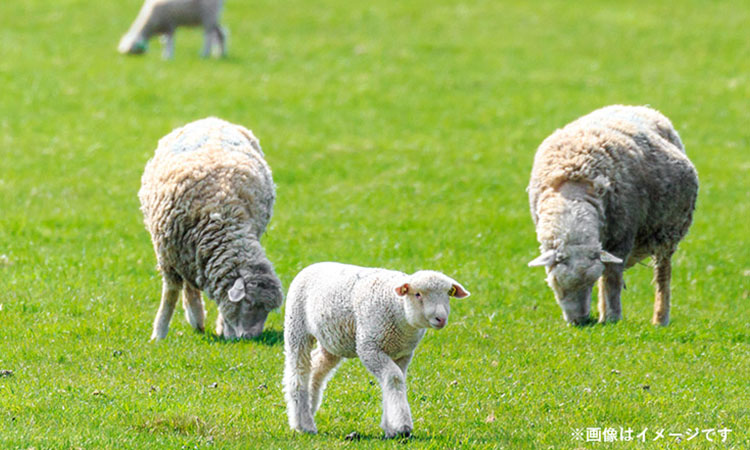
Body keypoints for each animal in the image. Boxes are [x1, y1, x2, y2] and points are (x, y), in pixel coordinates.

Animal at [282, 262, 470, 438]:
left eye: (448, 294)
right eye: (418, 294)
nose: (441, 318)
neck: (398, 310)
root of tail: (313, 265)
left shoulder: (402, 353)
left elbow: (393, 380)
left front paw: (390, 428)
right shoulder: (369, 347)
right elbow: (394, 378)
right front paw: (402, 426)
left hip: (332, 342)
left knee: (316, 367)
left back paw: (310, 410)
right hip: (296, 328)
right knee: (298, 373)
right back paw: (302, 424)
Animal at [528, 103, 700, 326]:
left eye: (589, 283)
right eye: (556, 282)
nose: (580, 321)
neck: (573, 194)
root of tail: (640, 107)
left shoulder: (622, 238)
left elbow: (612, 279)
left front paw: (613, 318)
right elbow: (607, 277)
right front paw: (607, 317)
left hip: (667, 234)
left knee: (663, 275)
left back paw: (660, 318)